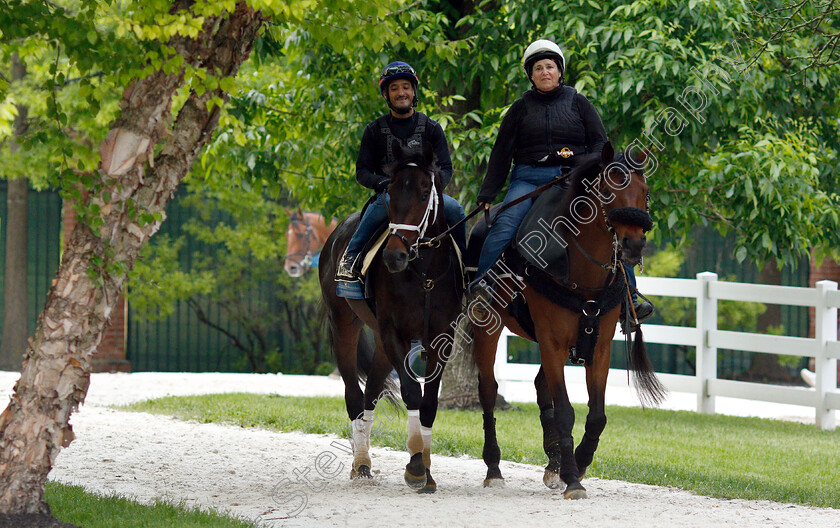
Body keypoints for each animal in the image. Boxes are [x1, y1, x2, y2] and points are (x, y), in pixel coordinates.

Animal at [320, 139, 462, 490]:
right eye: (391, 193)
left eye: (425, 193)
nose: (394, 256)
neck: (424, 273)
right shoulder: (393, 333)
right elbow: (412, 392)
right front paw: (415, 467)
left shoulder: (443, 337)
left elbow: (429, 402)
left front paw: (426, 470)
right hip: (345, 326)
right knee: (354, 396)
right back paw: (360, 463)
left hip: (381, 346)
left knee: (370, 395)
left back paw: (364, 461)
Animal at [466, 144, 664, 500]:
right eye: (607, 190)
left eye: (645, 192)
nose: (633, 244)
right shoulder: (553, 343)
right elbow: (565, 411)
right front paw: (572, 478)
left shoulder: (598, 347)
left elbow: (595, 415)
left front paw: (578, 464)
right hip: (488, 328)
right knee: (488, 390)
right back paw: (494, 468)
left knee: (539, 387)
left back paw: (553, 461)